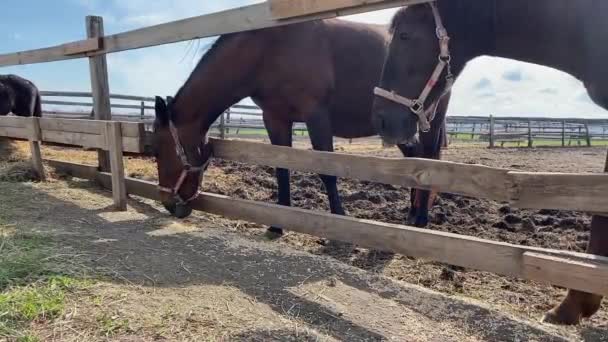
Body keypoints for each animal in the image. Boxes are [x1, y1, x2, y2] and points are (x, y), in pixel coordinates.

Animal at [152, 16, 452, 235]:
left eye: (158, 150)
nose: (169, 204)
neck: (269, 49)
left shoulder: (316, 115)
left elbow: (327, 171)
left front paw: (339, 224)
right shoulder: (275, 118)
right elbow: (282, 169)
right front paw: (278, 224)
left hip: (429, 122)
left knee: (429, 161)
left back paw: (422, 220)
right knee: (416, 161)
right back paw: (412, 214)